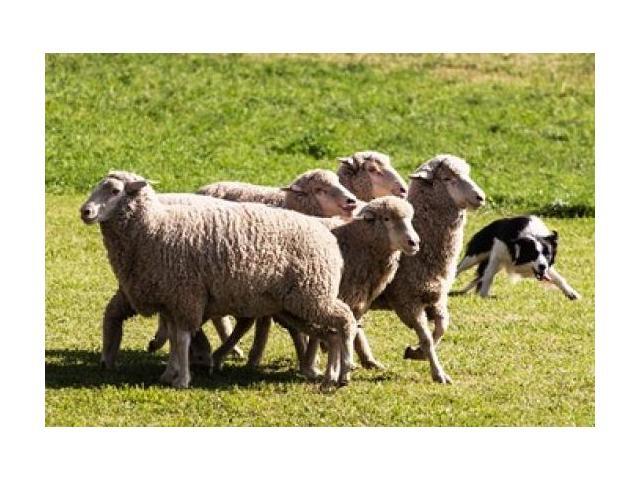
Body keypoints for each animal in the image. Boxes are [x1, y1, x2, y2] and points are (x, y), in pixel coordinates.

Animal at [80, 171, 358, 389]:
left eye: (115, 190)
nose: (85, 211)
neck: (154, 227)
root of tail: (327, 234)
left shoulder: (186, 295)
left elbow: (181, 338)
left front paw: (182, 380)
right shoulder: (171, 298)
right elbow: (175, 338)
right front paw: (170, 373)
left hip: (312, 294)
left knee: (345, 320)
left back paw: (344, 371)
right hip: (297, 303)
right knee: (331, 333)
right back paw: (330, 376)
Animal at [210, 196, 421, 378]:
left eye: (410, 219)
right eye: (387, 218)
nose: (414, 242)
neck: (358, 241)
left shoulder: (353, 298)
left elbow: (349, 328)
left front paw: (363, 361)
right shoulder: (323, 295)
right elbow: (326, 331)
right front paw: (313, 367)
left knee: (253, 322)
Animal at [371, 154, 485, 384]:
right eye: (447, 178)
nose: (480, 197)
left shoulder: (435, 297)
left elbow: (442, 327)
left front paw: (415, 353)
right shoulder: (407, 300)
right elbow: (426, 337)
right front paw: (438, 373)